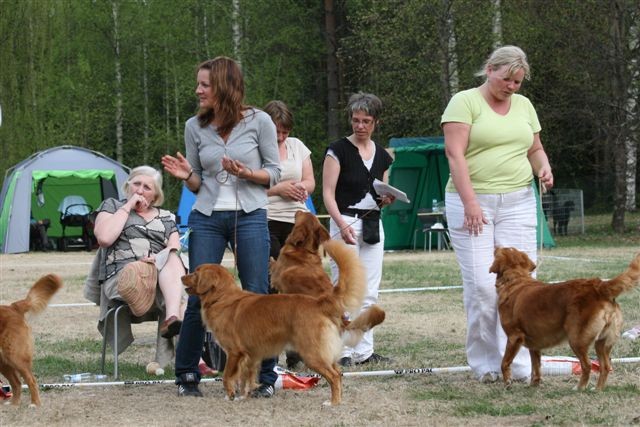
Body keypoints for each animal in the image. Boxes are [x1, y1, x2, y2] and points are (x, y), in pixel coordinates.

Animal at [0, 276, 62, 406]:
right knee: (16, 382)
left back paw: (34, 403)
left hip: (15, 356)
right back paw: (14, 404)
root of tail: (13, 307)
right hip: (4, 361)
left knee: (31, 380)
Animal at [182, 241, 368, 404]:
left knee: (334, 376)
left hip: (312, 353)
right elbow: (245, 377)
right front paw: (243, 396)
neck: (221, 297)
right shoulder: (249, 355)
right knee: (338, 372)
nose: (182, 275)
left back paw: (333, 402)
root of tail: (319, 302)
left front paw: (230, 395)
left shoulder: (235, 352)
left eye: (196, 273)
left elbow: (227, 376)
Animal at [492, 247, 636, 392]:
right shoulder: (535, 345)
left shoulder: (514, 337)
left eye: (497, 251)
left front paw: (508, 383)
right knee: (605, 366)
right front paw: (534, 385)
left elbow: (504, 363)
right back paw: (597, 389)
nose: (495, 247)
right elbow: (536, 367)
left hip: (576, 340)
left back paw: (579, 387)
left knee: (587, 365)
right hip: (602, 342)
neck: (515, 279)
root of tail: (599, 286)